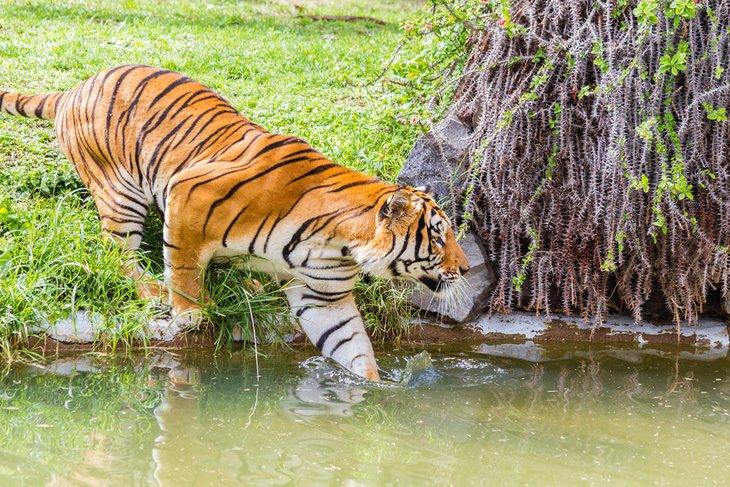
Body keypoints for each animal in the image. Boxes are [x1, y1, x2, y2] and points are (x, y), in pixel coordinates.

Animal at [0, 65, 469, 380]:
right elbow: (184, 269)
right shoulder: (188, 193)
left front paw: (370, 388)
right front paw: (190, 315)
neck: (339, 246)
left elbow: (349, 343)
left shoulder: (324, 295)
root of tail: (74, 88)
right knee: (118, 253)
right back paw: (154, 290)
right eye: (439, 236)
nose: (465, 268)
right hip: (120, 193)